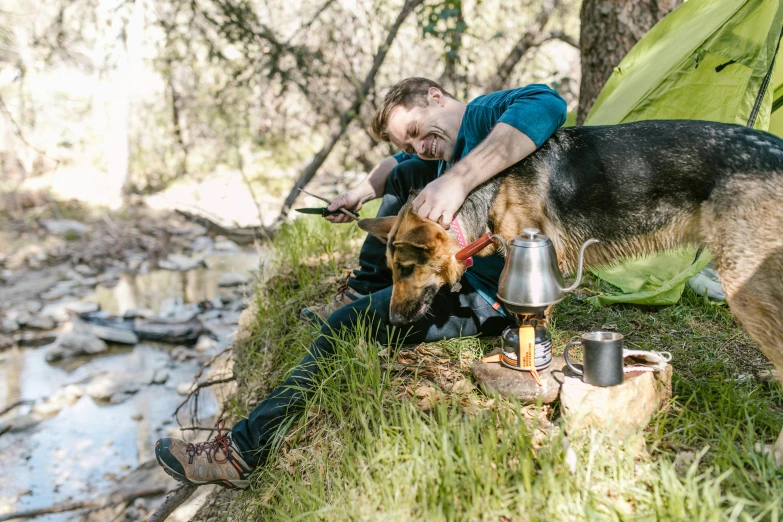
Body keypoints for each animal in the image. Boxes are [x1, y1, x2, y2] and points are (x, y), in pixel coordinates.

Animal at [360, 120, 783, 462]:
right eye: (393, 271)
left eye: (407, 269)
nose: (392, 319)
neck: (487, 193)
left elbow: (536, 326)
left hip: (745, 287)